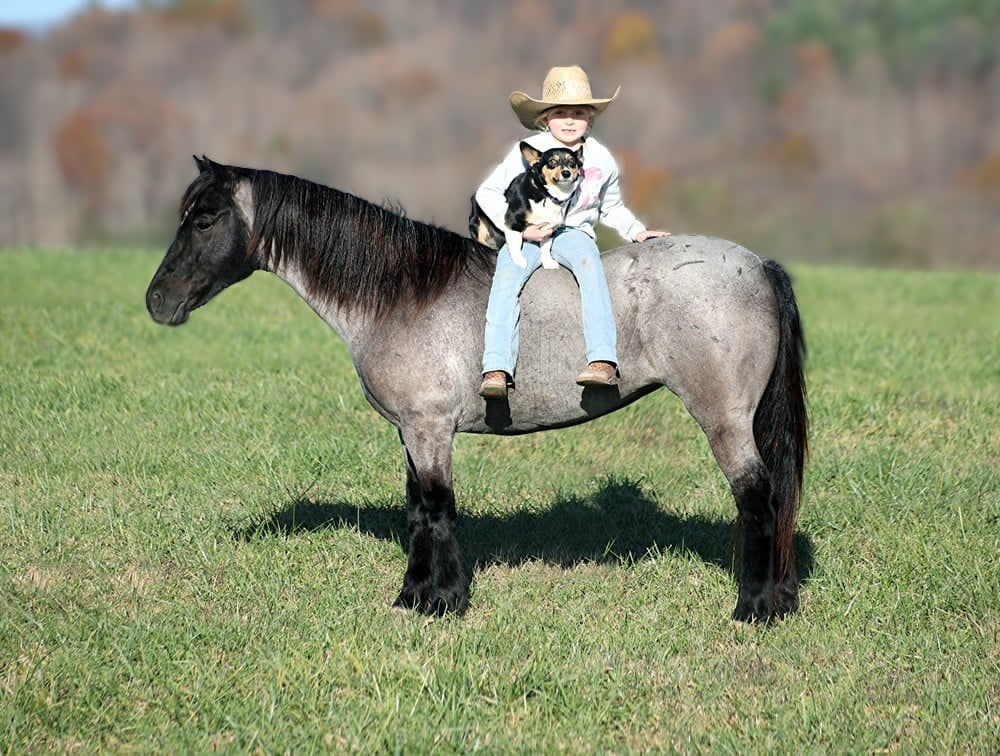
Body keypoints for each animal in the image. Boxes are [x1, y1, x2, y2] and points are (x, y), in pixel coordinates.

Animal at [146, 156, 808, 623]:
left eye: (204, 219)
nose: (157, 301)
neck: (402, 294)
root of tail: (758, 265)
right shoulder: (412, 432)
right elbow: (417, 510)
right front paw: (413, 597)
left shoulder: (430, 429)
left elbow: (438, 509)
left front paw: (443, 601)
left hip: (724, 420)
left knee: (758, 498)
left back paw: (754, 609)